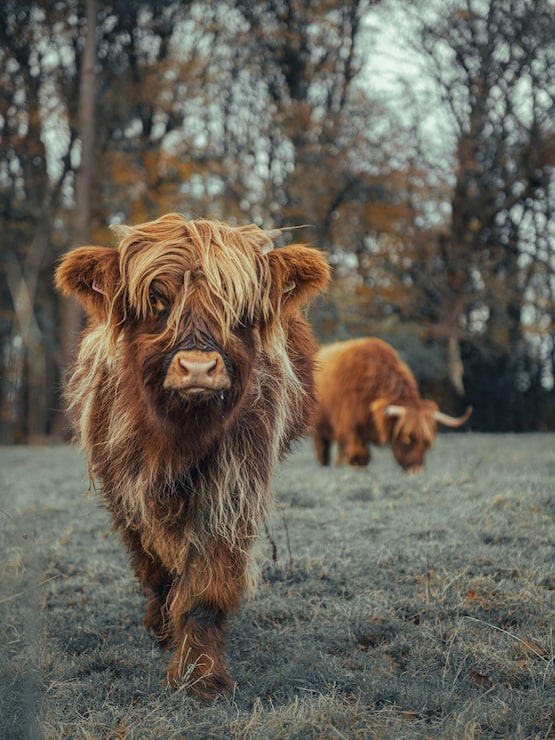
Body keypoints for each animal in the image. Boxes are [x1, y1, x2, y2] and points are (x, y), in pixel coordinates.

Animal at [55, 213, 329, 699]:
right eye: (156, 301)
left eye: (237, 308)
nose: (198, 369)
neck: (177, 440)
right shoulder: (125, 490)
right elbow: (153, 565)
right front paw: (165, 632)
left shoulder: (232, 488)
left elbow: (205, 586)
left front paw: (201, 676)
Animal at [312, 337, 472, 473]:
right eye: (408, 437)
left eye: (427, 442)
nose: (417, 469)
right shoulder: (350, 427)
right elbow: (359, 453)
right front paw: (357, 468)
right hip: (320, 428)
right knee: (323, 448)